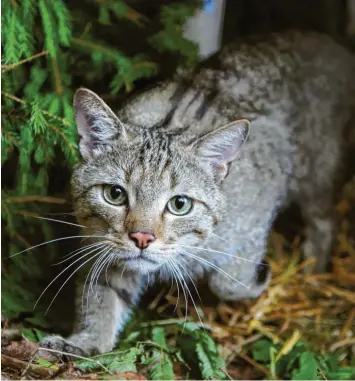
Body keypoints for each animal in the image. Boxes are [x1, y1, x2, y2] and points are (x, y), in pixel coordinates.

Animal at [39, 31, 355, 358]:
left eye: (180, 204)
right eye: (115, 194)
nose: (142, 238)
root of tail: (328, 40)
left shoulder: (259, 206)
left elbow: (230, 282)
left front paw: (257, 281)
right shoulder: (102, 245)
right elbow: (100, 298)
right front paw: (85, 342)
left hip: (317, 176)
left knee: (325, 222)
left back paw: (313, 271)